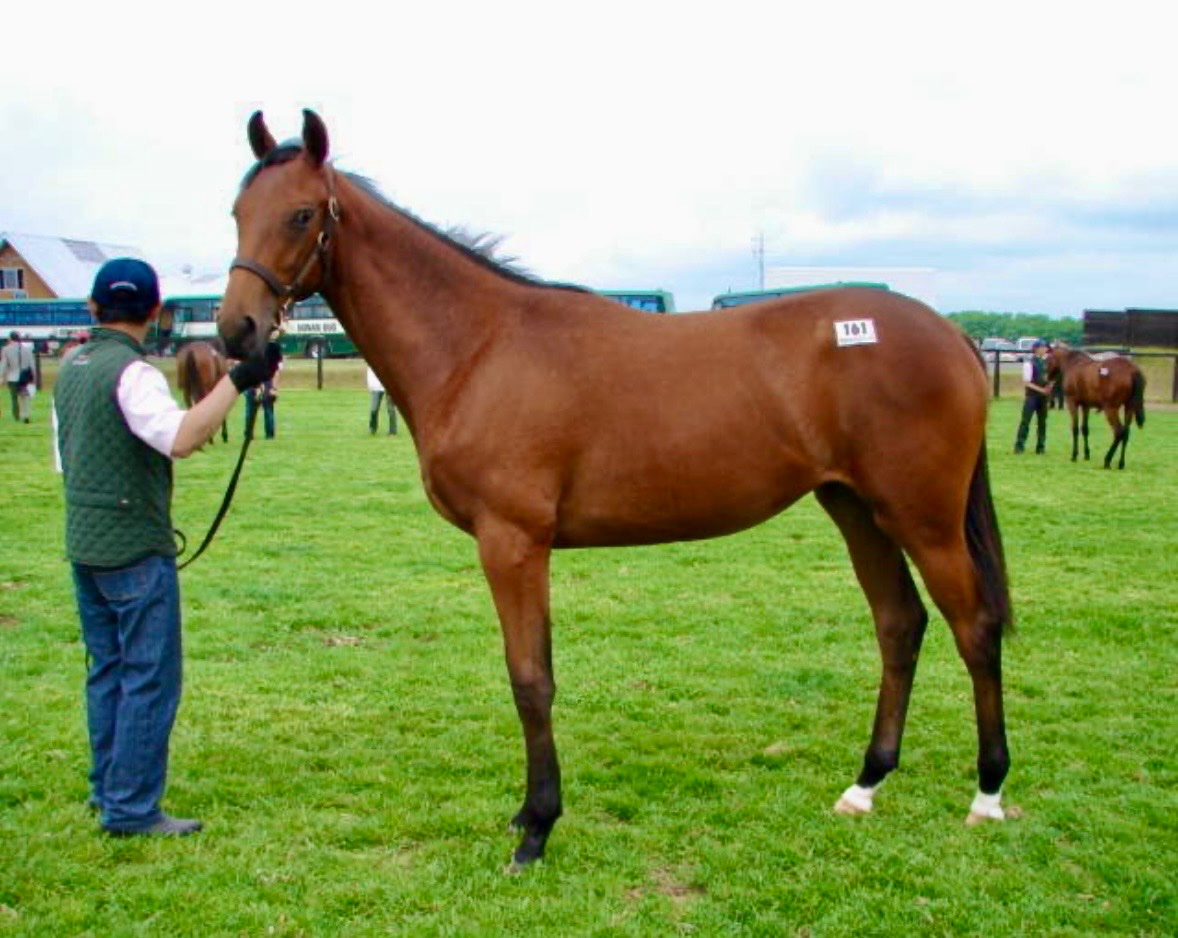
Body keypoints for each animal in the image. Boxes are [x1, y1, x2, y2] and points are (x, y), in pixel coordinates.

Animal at [217, 110, 1014, 867]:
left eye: (301, 215)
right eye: (237, 211)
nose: (236, 332)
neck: (478, 347)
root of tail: (952, 334)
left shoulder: (513, 542)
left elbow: (530, 679)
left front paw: (537, 829)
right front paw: (528, 816)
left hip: (923, 518)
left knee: (973, 627)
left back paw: (987, 793)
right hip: (856, 509)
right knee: (899, 624)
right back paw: (865, 785)